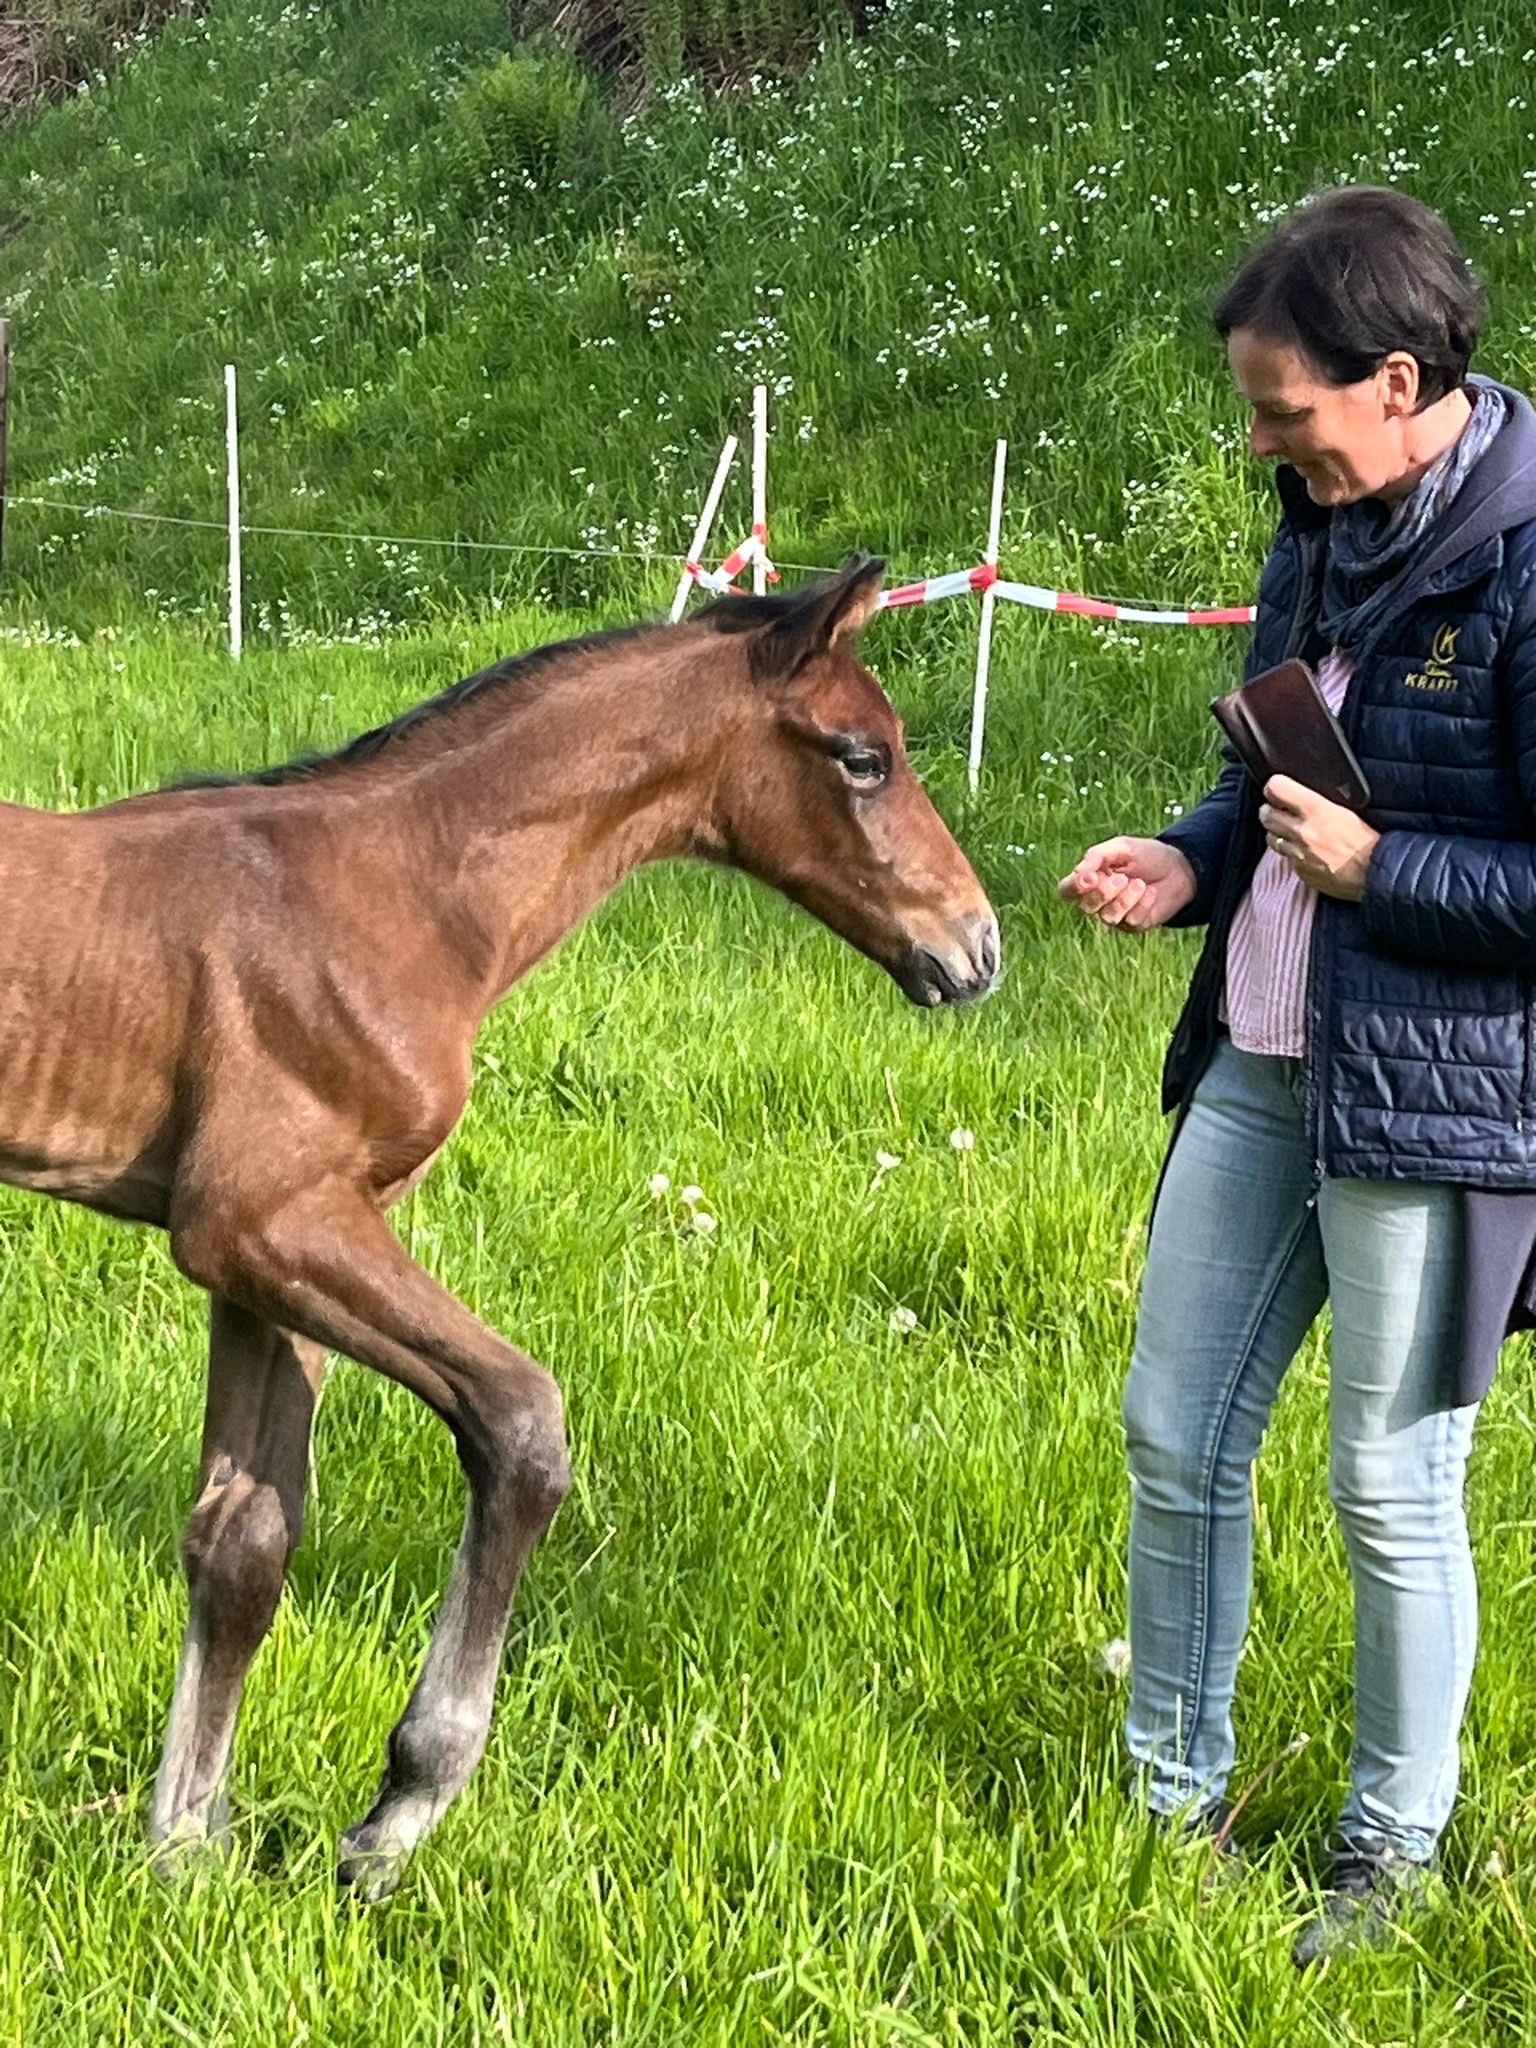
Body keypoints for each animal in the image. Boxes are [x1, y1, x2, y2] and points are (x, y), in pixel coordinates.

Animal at [0, 555, 999, 1898]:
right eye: (863, 756)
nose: (978, 944)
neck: (402, 894)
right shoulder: (261, 1219)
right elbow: (522, 1425)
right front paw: (397, 1812)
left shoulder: (273, 1250)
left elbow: (244, 1539)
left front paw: (185, 1855)